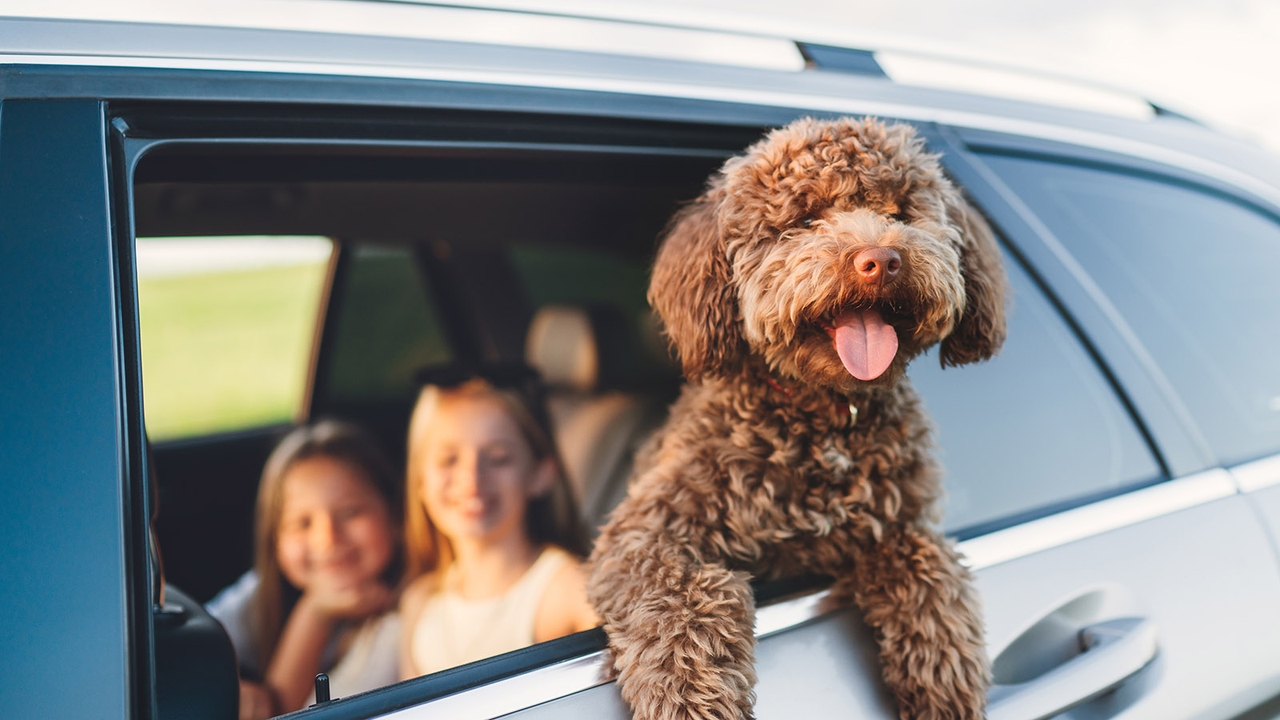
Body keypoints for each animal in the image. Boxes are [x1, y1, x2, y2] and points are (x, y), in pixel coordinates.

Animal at [586, 117, 1003, 717]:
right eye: (806, 218)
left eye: (901, 212)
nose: (880, 260)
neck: (824, 416)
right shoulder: (647, 534)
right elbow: (679, 594)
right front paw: (691, 694)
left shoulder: (900, 520)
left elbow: (925, 559)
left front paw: (945, 671)